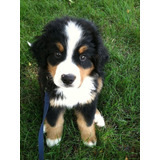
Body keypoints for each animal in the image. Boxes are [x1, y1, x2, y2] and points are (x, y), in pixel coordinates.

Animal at [31, 17, 109, 148]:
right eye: (57, 54)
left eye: (83, 57)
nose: (68, 79)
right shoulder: (52, 99)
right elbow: (54, 121)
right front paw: (53, 139)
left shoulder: (87, 97)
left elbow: (87, 121)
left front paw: (89, 139)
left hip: (99, 80)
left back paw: (98, 117)